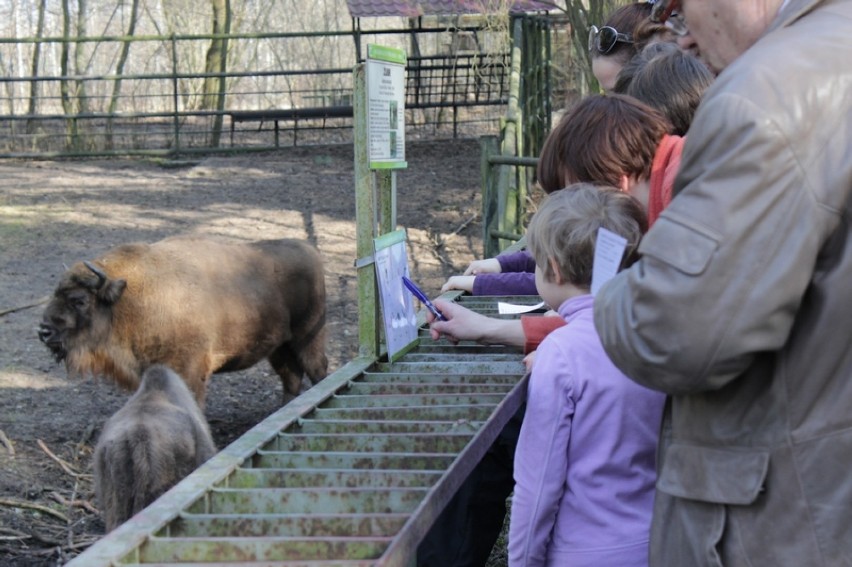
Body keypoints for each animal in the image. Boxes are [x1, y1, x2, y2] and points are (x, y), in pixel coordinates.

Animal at [38, 237, 328, 406]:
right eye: (55, 293)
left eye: (79, 300)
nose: (43, 331)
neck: (130, 299)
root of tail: (310, 251)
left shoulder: (190, 371)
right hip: (279, 346)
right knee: (291, 376)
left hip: (308, 337)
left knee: (317, 369)